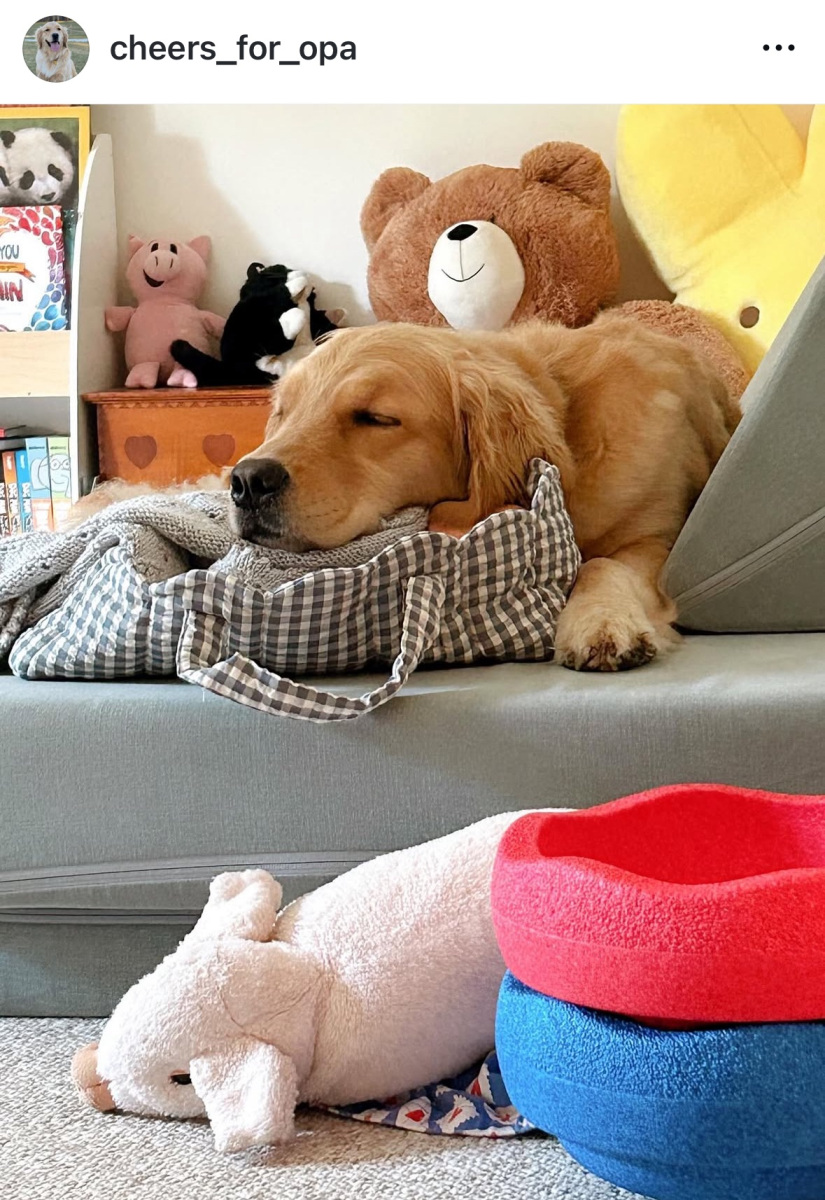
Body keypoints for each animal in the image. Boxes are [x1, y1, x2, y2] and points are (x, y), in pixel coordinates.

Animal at [228, 316, 740, 672]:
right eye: (282, 413)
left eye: (375, 418)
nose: (246, 481)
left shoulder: (661, 536)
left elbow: (604, 563)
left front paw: (600, 621)